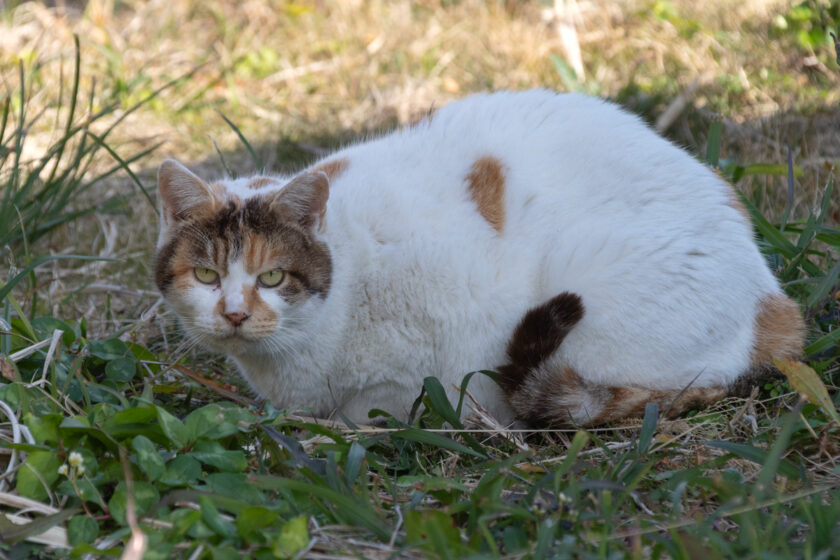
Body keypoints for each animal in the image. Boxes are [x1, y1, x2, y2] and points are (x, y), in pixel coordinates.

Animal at [154, 89, 804, 426]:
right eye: (207, 275)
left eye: (272, 276)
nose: (235, 313)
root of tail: (773, 304)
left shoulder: (438, 347)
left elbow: (385, 407)